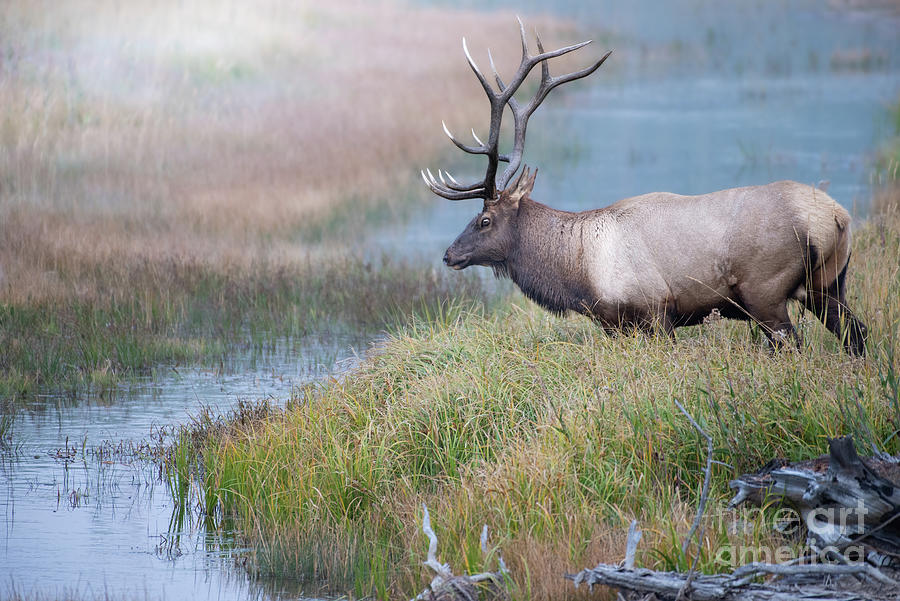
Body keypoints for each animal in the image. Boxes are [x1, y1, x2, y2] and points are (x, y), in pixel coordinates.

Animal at [426, 19, 868, 356]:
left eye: (484, 220)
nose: (448, 254)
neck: (580, 273)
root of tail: (835, 217)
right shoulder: (615, 325)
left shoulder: (657, 310)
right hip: (828, 284)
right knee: (856, 333)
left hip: (766, 293)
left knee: (795, 344)